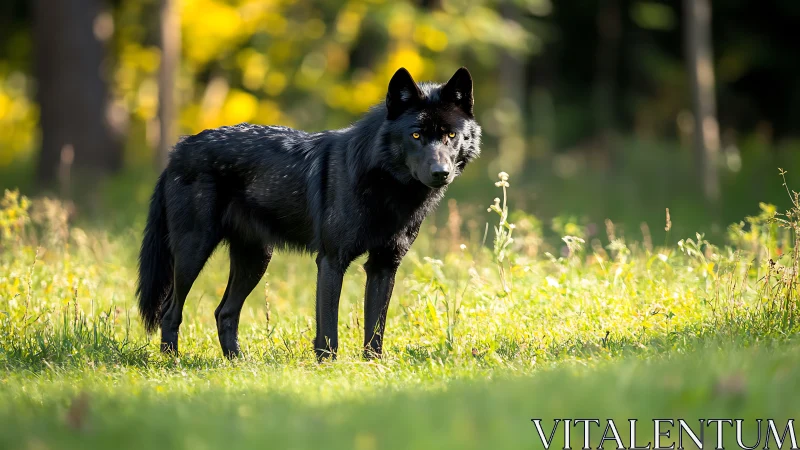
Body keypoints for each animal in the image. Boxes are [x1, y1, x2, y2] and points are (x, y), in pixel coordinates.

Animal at [137, 67, 481, 360]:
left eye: (451, 136)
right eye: (415, 135)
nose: (441, 173)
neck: (386, 187)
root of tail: (180, 148)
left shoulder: (384, 266)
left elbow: (375, 329)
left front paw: (373, 367)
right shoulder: (331, 261)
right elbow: (328, 327)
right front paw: (327, 368)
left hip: (256, 259)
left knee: (224, 312)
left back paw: (237, 363)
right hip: (193, 253)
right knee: (170, 310)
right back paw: (172, 363)